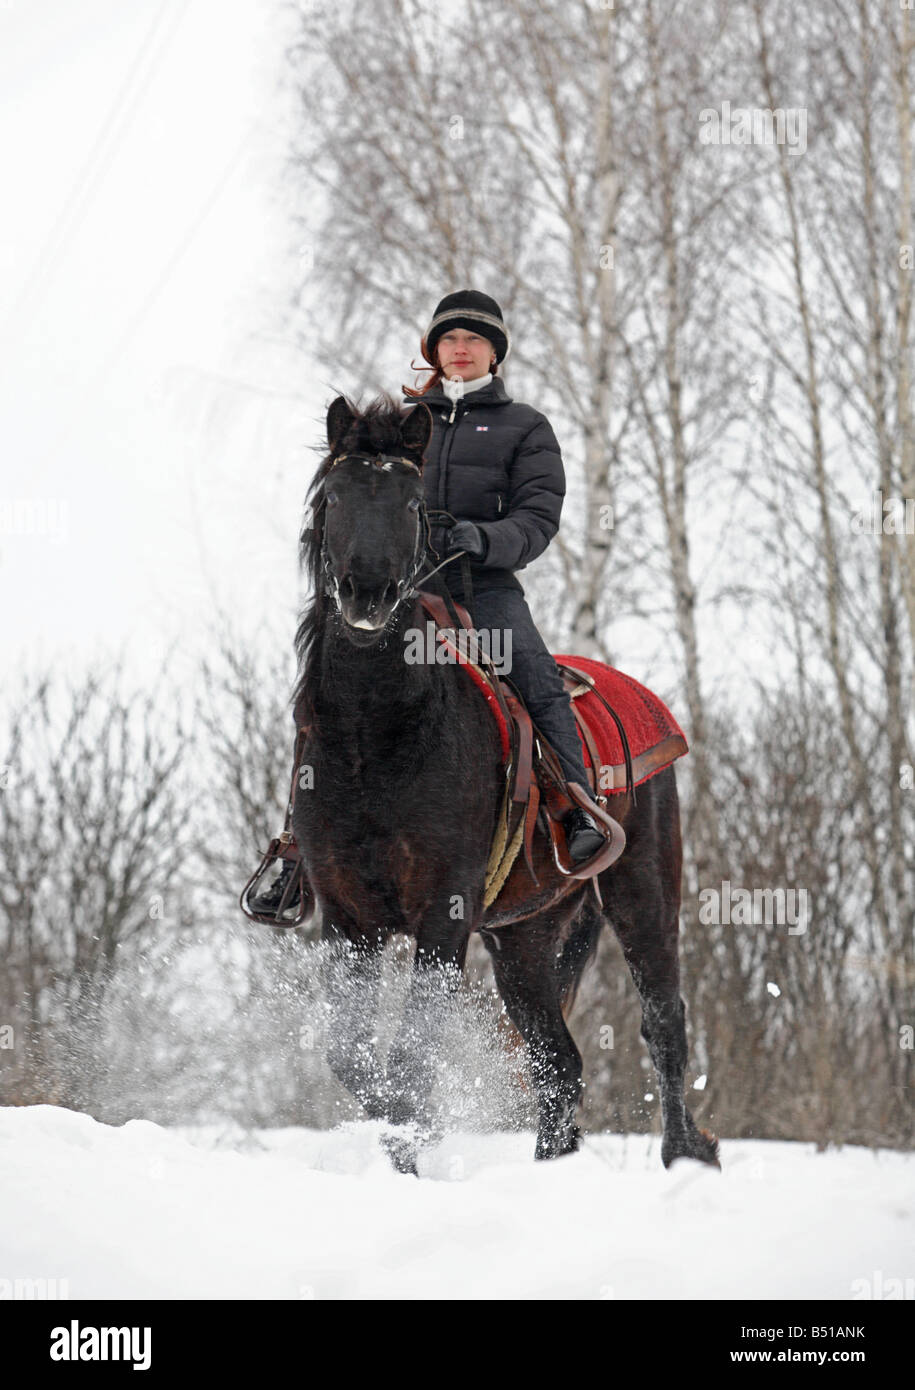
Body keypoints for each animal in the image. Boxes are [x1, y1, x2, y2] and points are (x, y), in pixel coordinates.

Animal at [289, 391, 717, 1173]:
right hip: (524, 941)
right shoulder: (348, 919)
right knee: (560, 1064)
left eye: (412, 504)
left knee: (662, 1022)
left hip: (641, 894)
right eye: (334, 495)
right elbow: (356, 1061)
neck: (377, 739)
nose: (367, 594)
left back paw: (683, 1154)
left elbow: (409, 1062)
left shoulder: (444, 911)